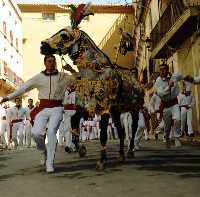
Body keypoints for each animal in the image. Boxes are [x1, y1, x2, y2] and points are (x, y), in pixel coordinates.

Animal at [40, 3, 144, 169]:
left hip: (134, 109)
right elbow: (74, 124)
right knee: (121, 131)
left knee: (132, 129)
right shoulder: (84, 107)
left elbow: (102, 135)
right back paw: (121, 155)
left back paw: (130, 151)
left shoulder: (104, 110)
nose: (42, 46)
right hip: (116, 111)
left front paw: (102, 160)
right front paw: (79, 147)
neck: (94, 74)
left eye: (65, 35)